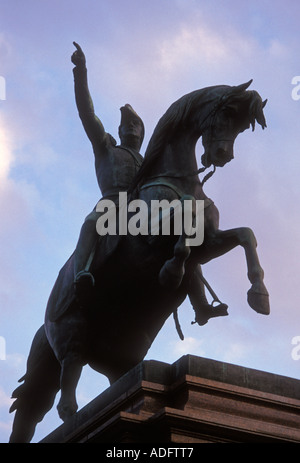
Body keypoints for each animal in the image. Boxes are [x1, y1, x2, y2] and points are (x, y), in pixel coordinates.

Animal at [8, 81, 270, 444]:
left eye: (244, 126)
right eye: (227, 113)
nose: (222, 157)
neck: (179, 181)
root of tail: (43, 326)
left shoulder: (211, 242)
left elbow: (245, 235)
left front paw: (259, 295)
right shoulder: (152, 236)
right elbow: (183, 230)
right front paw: (171, 272)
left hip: (122, 356)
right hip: (70, 336)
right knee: (64, 400)